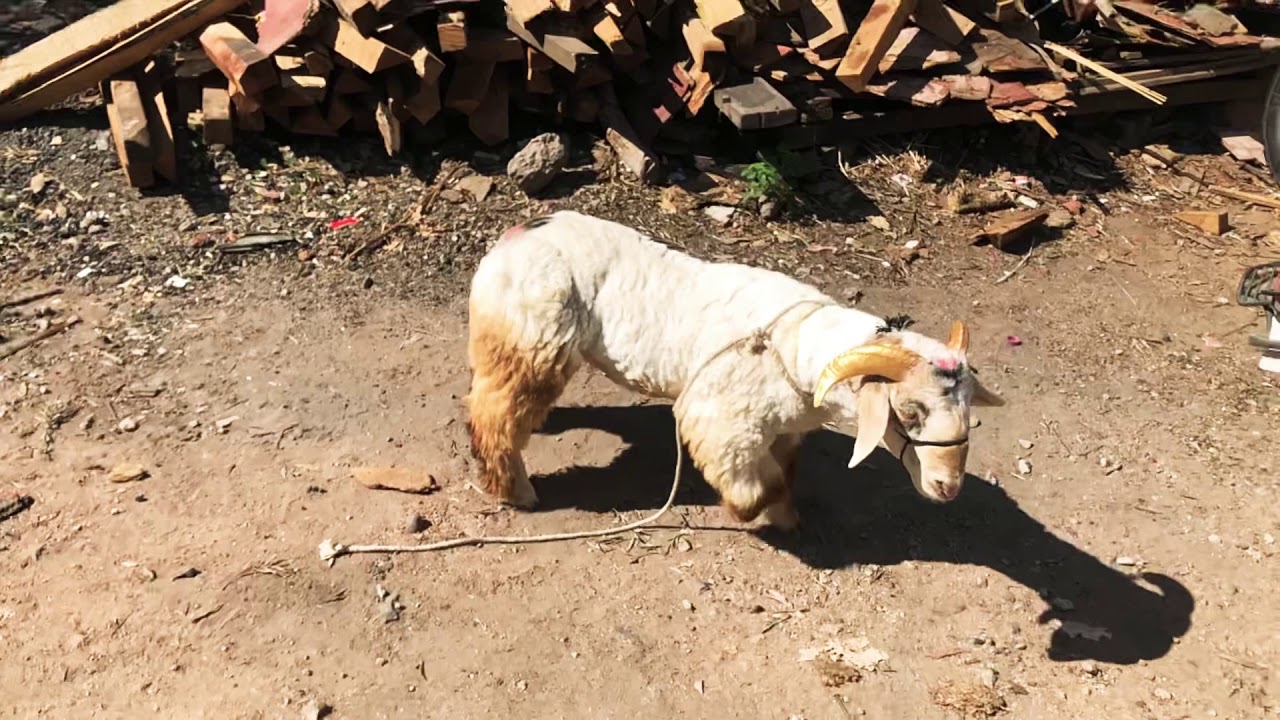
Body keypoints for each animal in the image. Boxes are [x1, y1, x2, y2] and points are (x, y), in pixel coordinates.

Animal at [464, 210, 1005, 529]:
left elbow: (786, 474)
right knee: (491, 416)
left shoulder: (784, 430)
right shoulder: (722, 423)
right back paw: (516, 491)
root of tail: (521, 233)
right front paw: (752, 514)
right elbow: (757, 483)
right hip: (532, 341)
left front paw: (786, 517)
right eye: (909, 412)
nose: (948, 488)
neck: (800, 343)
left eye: (969, 411)